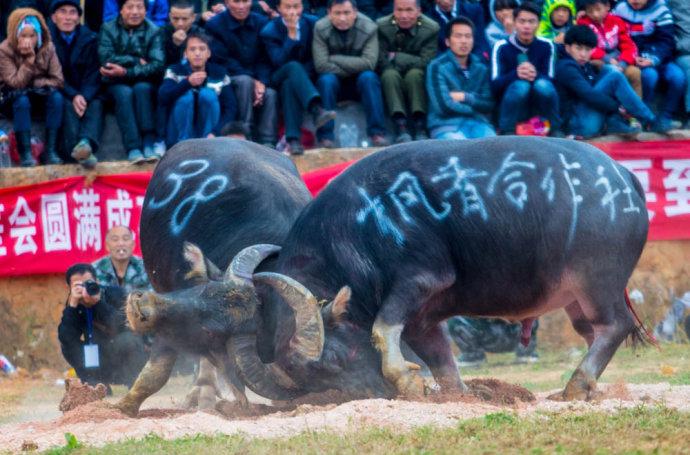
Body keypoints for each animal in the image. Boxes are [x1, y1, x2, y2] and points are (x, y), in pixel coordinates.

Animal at [198, 137, 644, 400]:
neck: (357, 230)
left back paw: (576, 386)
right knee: (593, 331)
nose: (373, 394)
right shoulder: (423, 320)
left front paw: (407, 381)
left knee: (615, 326)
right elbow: (440, 359)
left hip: (596, 281)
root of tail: (623, 177)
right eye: (311, 380)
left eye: (332, 361)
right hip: (574, 298)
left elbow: (382, 329)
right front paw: (457, 395)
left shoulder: (420, 281)